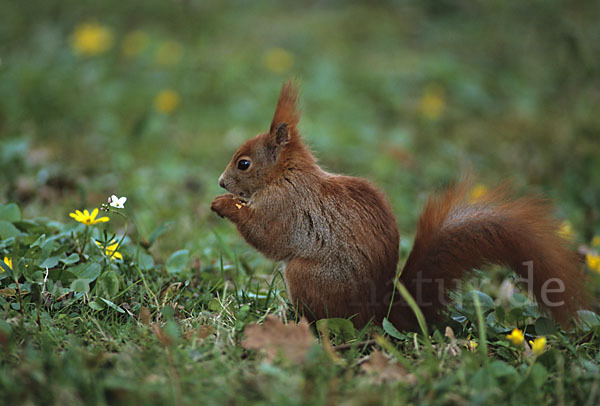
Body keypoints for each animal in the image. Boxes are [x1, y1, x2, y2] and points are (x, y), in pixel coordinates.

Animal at [212, 80, 592, 330]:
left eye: (243, 163)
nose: (220, 182)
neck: (285, 174)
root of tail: (377, 313)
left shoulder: (286, 205)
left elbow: (268, 236)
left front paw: (225, 205)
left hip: (307, 277)